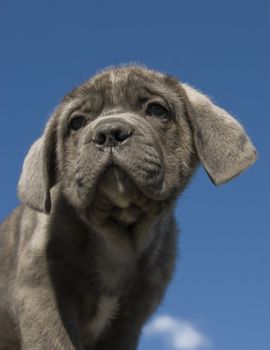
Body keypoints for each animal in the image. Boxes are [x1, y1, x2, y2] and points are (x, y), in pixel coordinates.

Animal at [0, 66, 258, 350]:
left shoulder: (129, 321)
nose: (109, 133)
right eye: (76, 123)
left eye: (157, 110)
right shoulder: (43, 296)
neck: (118, 235)